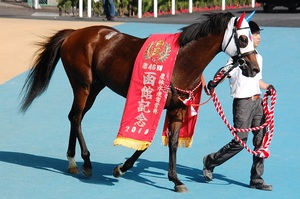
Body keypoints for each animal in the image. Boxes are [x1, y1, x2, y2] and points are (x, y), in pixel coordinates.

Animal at [19, 11, 258, 192]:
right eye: (243, 39)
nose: (254, 68)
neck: (181, 61)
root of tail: (74, 33)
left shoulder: (177, 108)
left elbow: (172, 143)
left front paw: (175, 180)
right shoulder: (154, 105)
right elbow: (145, 142)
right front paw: (122, 168)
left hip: (95, 87)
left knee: (73, 117)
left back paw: (71, 162)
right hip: (82, 85)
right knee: (76, 118)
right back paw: (86, 162)